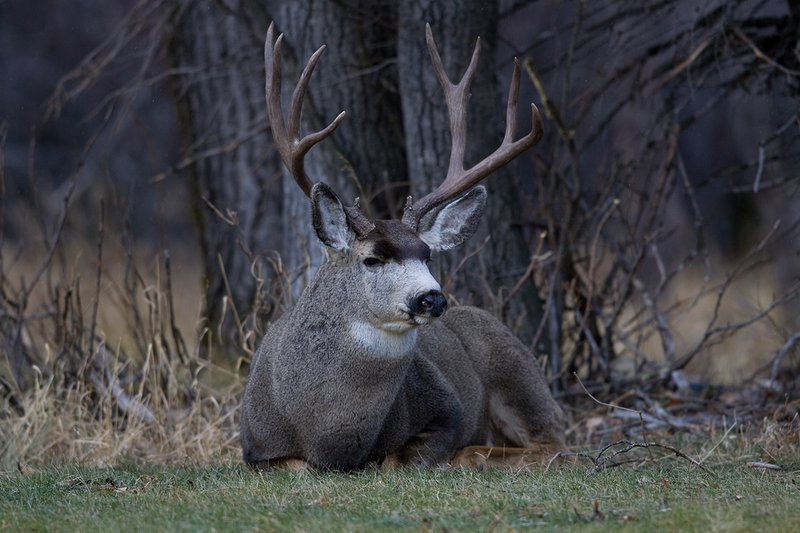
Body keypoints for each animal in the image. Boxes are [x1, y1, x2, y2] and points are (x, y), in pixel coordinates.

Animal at [239, 22, 566, 471]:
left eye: (426, 255)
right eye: (372, 259)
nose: (431, 297)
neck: (326, 433)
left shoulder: (447, 410)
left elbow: (398, 460)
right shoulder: (253, 448)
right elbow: (297, 467)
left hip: (518, 371)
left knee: (556, 444)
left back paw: (478, 453)